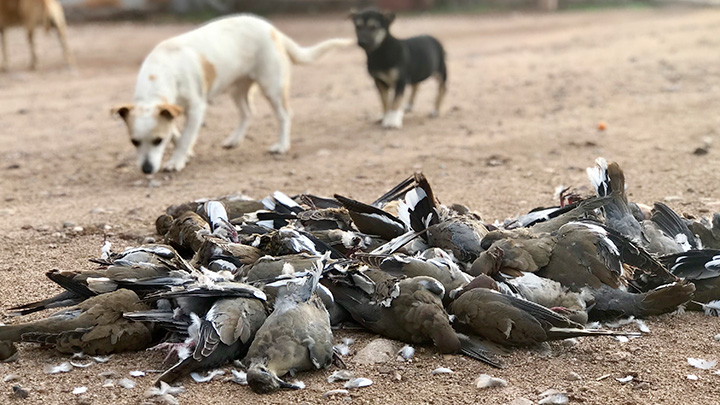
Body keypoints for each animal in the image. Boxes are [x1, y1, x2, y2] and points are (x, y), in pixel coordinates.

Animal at [114, 14, 352, 174]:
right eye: (134, 142)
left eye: (157, 141)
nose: (146, 169)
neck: (160, 73)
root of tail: (271, 29)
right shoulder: (172, 110)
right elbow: (177, 134)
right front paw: (186, 153)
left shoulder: (196, 109)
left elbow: (184, 138)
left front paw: (177, 160)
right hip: (237, 89)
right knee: (247, 113)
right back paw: (234, 140)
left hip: (271, 87)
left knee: (284, 115)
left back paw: (281, 146)